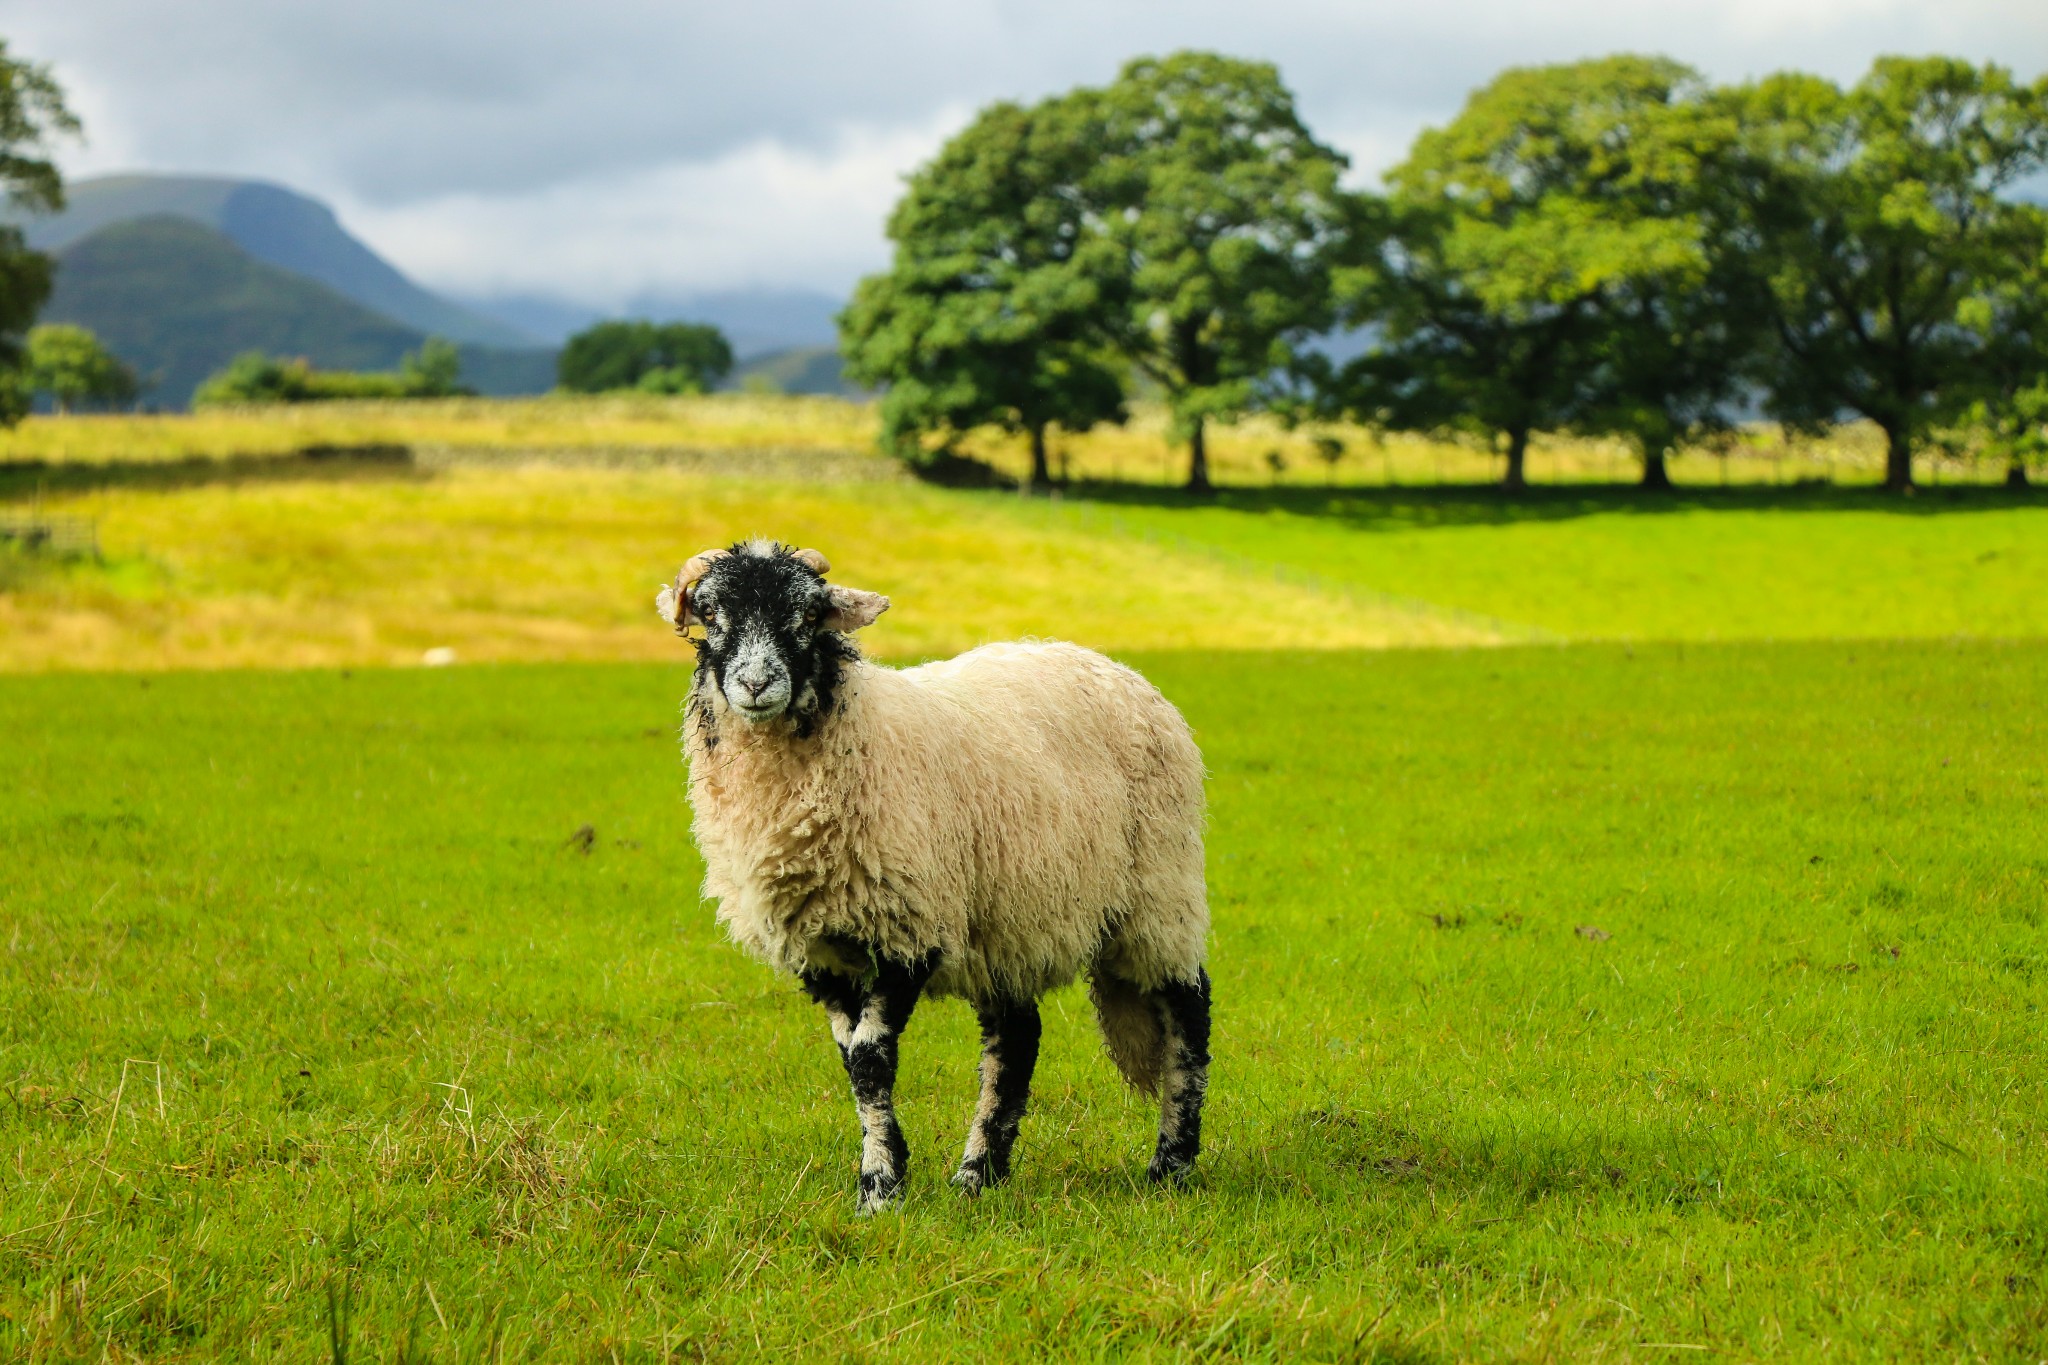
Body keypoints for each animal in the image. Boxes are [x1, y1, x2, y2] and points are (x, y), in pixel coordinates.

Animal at [655, 540, 1204, 1211]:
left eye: (808, 615)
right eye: (711, 616)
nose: (756, 683)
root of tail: (1116, 668)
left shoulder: (907, 925)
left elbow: (870, 1058)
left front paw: (879, 1187)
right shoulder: (821, 947)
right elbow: (851, 1059)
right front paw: (887, 1169)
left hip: (1161, 890)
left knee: (1188, 1014)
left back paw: (1171, 1165)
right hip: (1006, 917)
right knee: (1017, 1039)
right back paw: (978, 1175)